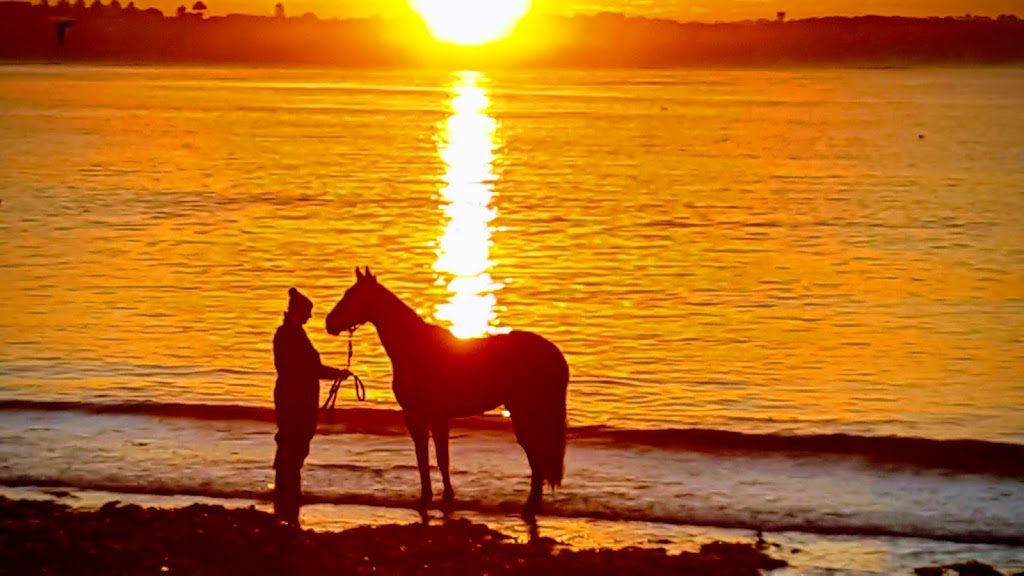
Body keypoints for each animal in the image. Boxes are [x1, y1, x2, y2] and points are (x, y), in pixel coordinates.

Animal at [325, 266, 573, 516]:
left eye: (352, 295)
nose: (329, 323)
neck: (414, 347)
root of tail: (553, 354)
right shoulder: (434, 417)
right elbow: (436, 457)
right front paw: (442, 496)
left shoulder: (421, 415)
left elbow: (430, 457)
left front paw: (431, 497)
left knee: (536, 456)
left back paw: (530, 506)